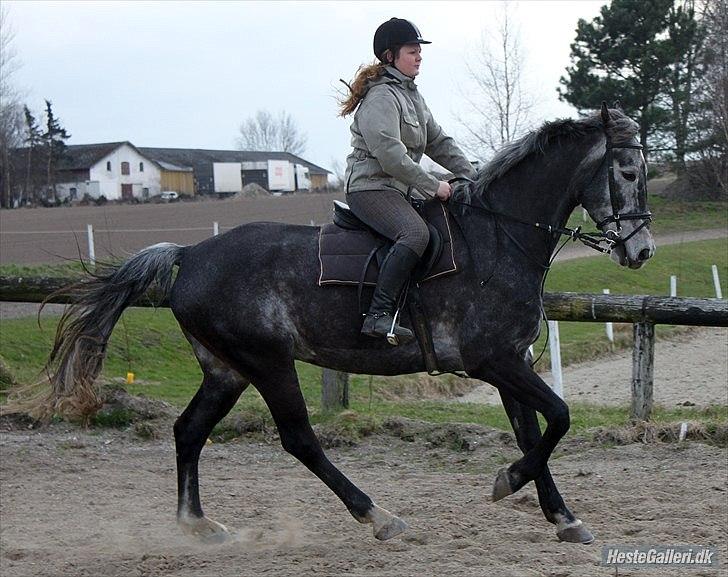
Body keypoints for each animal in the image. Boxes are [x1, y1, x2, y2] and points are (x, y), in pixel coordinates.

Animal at [41, 104, 656, 544]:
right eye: (627, 170)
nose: (642, 250)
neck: (498, 236)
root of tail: (190, 255)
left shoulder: (514, 361)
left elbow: (535, 431)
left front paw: (562, 516)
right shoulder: (494, 362)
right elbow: (559, 418)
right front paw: (509, 481)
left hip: (226, 370)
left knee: (188, 431)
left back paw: (198, 524)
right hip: (268, 363)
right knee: (299, 439)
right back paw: (378, 516)